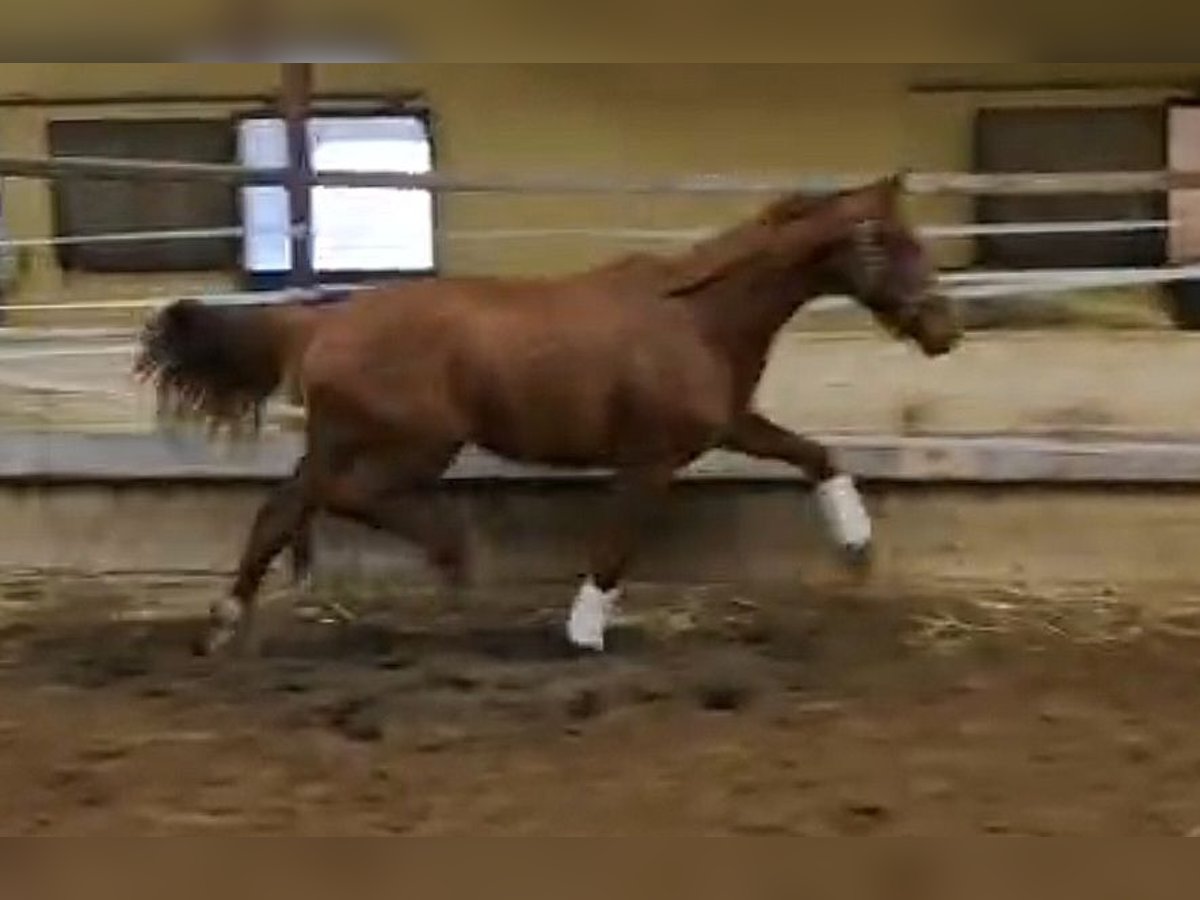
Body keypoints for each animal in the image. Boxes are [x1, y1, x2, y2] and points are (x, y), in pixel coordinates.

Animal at [136, 173, 962, 656]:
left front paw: (856, 542)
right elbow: (617, 545)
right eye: (890, 243)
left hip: (341, 441)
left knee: (283, 509)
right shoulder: (651, 459)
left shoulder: (728, 425)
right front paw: (585, 631)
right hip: (414, 444)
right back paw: (456, 557)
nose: (944, 330)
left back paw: (226, 622)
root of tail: (319, 323)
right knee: (346, 499)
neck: (697, 316)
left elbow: (815, 454)